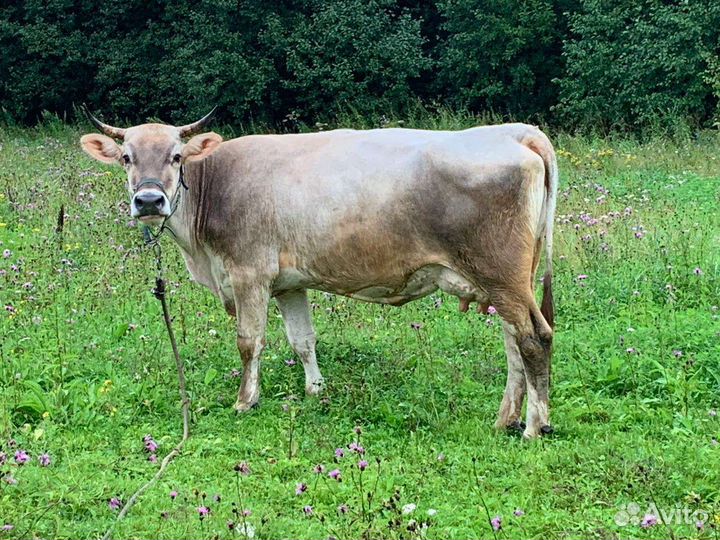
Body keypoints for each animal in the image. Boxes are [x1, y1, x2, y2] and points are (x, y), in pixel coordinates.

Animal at [80, 111, 558, 438]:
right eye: (126, 158)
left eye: (176, 156)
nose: (148, 201)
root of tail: (515, 131)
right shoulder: (288, 284)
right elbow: (303, 340)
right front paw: (315, 390)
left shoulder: (249, 274)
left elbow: (249, 343)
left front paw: (245, 401)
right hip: (505, 282)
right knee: (513, 343)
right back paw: (505, 419)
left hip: (501, 275)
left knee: (534, 339)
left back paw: (534, 426)